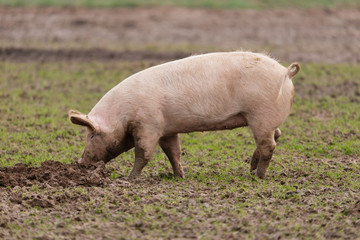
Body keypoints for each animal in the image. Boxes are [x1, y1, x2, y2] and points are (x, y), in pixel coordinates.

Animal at [69, 51, 300, 178]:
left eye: (92, 134)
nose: (80, 163)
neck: (121, 115)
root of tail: (286, 72)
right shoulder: (166, 129)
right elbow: (173, 152)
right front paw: (180, 176)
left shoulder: (149, 124)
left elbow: (143, 153)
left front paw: (128, 178)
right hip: (263, 119)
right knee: (276, 135)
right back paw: (252, 169)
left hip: (260, 115)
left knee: (269, 145)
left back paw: (257, 176)